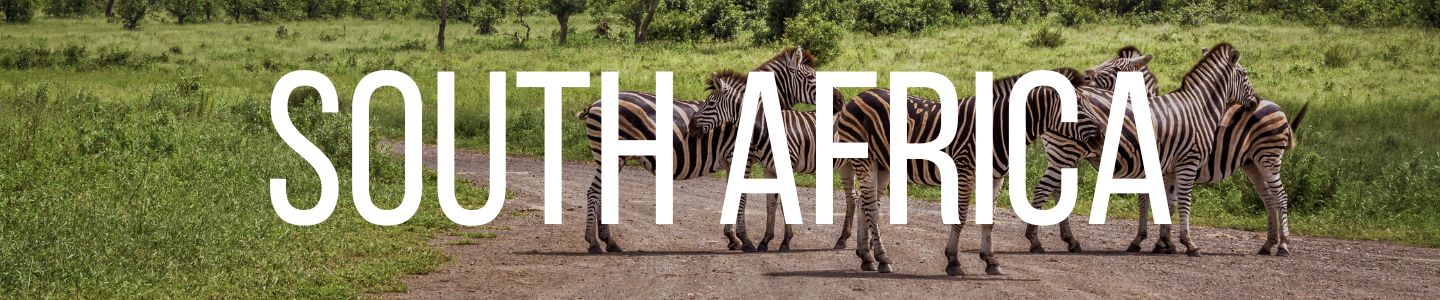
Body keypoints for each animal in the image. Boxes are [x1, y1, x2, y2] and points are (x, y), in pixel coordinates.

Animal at [567, 46, 829, 253]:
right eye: (813, 79)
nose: (835, 99)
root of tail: (594, 103)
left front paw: (732, 238)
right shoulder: (741, 156)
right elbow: (742, 196)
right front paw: (745, 240)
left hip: (614, 157)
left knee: (601, 193)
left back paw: (609, 242)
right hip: (608, 155)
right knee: (594, 192)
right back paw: (594, 243)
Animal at [835, 69, 1088, 275]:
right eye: (1079, 107)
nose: (1096, 142)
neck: (998, 126)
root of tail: (858, 96)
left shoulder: (996, 177)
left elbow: (989, 218)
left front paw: (991, 261)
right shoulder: (965, 169)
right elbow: (961, 215)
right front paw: (953, 261)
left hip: (881, 165)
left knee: (866, 204)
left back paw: (867, 257)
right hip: (865, 160)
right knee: (870, 208)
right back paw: (882, 259)